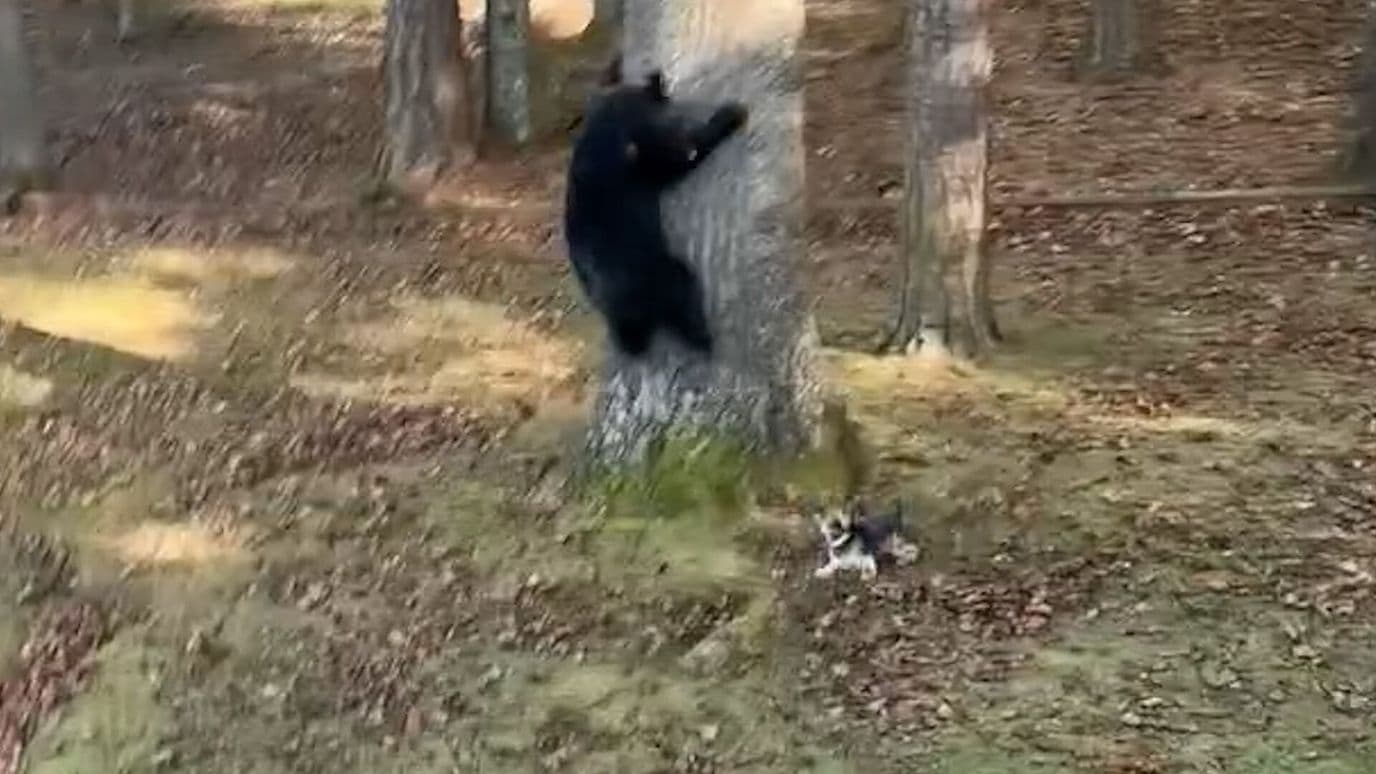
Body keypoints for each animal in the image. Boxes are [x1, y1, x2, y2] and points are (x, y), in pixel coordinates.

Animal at [563, 57, 749, 358]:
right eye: (674, 114)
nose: (681, 120)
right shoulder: (648, 148)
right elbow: (682, 158)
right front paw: (730, 114)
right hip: (661, 273)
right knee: (685, 295)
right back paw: (706, 340)